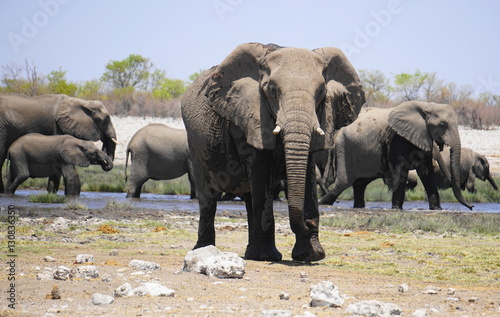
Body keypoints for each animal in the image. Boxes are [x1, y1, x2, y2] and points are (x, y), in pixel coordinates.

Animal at [182, 42, 366, 260]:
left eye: (321, 91)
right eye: (272, 90)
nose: (310, 222)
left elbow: (307, 175)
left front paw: (310, 255)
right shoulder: (248, 118)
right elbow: (261, 171)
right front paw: (267, 256)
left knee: (250, 198)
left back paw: (249, 251)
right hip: (195, 147)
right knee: (208, 197)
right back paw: (205, 249)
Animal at [320, 101, 472, 210]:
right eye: (442, 125)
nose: (471, 207)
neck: (426, 105)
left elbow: (426, 172)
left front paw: (437, 209)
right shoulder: (397, 139)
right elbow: (401, 171)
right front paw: (397, 208)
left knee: (360, 183)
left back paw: (358, 207)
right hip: (344, 150)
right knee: (342, 183)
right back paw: (323, 204)